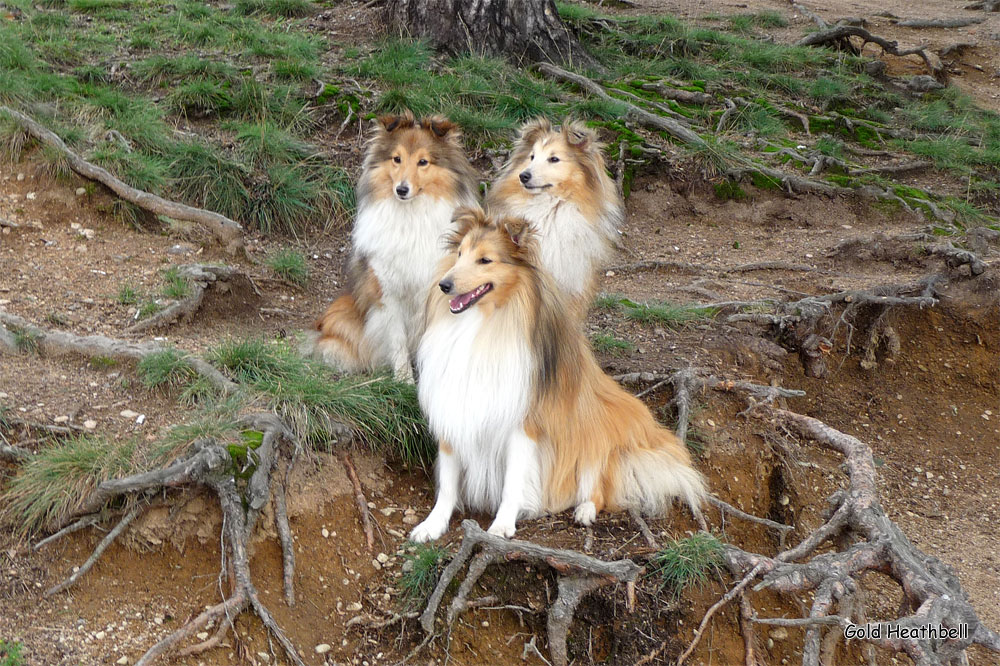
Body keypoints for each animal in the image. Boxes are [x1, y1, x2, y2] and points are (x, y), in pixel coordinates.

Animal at [308, 111, 480, 382]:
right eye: (397, 159)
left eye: (423, 162)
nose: (401, 189)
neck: (412, 217)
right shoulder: (386, 293)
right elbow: (397, 339)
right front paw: (404, 381)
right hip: (342, 311)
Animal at [406, 208, 704, 540]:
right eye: (459, 254)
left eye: (485, 260)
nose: (444, 285)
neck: (482, 325)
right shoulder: (453, 413)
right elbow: (447, 484)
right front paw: (432, 525)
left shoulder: (523, 425)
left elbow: (512, 483)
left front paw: (502, 524)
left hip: (591, 432)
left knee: (599, 488)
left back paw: (585, 510)